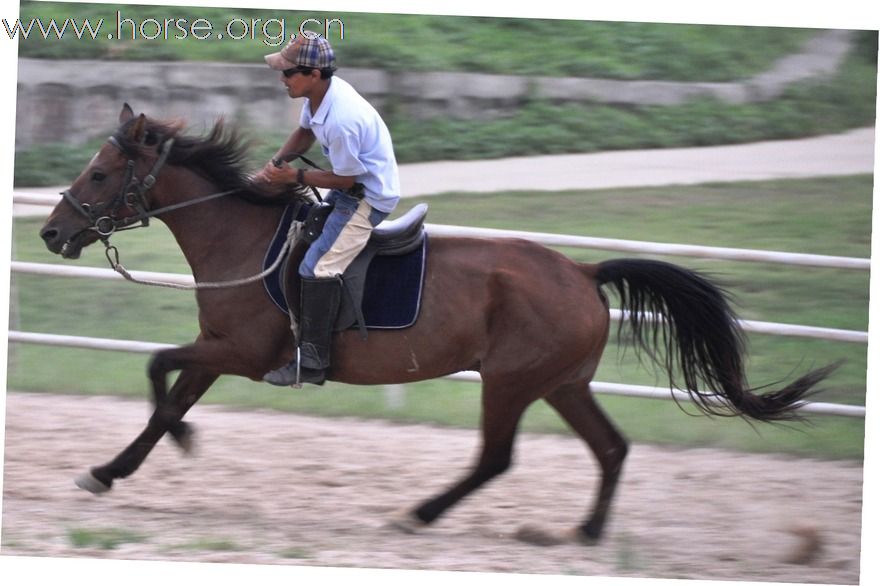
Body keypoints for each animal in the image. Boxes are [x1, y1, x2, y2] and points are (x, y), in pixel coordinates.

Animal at [39, 104, 840, 544]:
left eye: (100, 175)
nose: (50, 233)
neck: (241, 235)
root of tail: (581, 274)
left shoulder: (235, 349)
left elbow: (157, 371)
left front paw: (172, 444)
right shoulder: (217, 351)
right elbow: (165, 395)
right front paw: (113, 469)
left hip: (511, 382)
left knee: (496, 458)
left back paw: (418, 515)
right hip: (562, 384)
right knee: (611, 449)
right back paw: (583, 531)